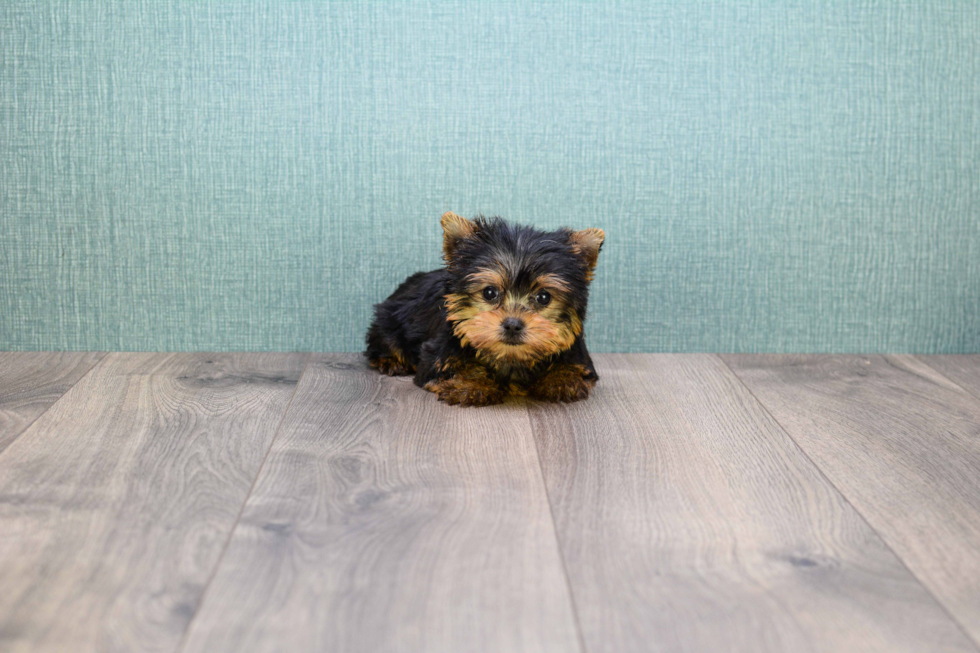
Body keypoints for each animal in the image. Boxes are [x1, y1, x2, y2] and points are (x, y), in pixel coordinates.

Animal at [364, 211, 600, 404]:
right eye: (489, 292)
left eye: (543, 297)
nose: (512, 324)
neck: (511, 357)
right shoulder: (437, 356)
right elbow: (457, 366)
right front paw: (471, 384)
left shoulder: (578, 353)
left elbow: (574, 367)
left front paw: (561, 380)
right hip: (389, 319)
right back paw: (390, 361)